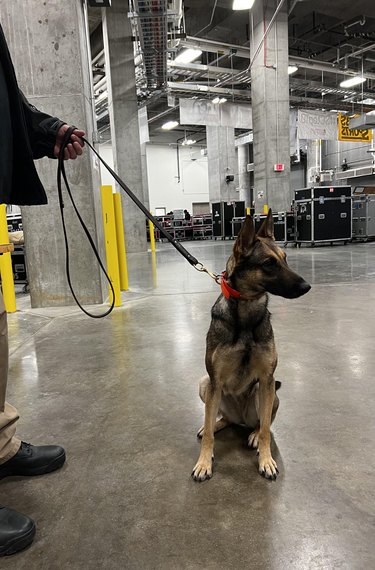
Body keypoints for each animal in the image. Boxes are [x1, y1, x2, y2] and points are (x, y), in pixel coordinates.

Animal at [192, 209, 310, 480]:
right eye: (269, 264)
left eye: (285, 259)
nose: (307, 286)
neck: (245, 311)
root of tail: (240, 420)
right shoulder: (214, 380)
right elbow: (210, 436)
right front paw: (204, 462)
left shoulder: (267, 378)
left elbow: (266, 428)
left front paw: (265, 460)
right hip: (206, 385)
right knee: (218, 417)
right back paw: (214, 424)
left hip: (268, 393)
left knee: (262, 423)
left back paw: (254, 434)